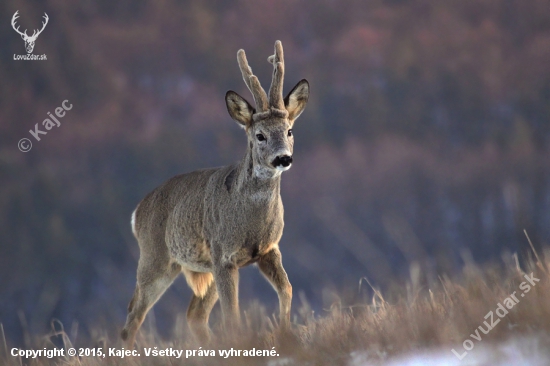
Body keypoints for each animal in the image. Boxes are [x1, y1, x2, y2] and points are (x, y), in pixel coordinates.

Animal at [122, 40, 310, 346]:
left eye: (290, 130)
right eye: (259, 135)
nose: (283, 158)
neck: (250, 223)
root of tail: (137, 212)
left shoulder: (269, 249)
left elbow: (287, 290)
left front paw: (286, 334)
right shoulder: (224, 256)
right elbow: (232, 314)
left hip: (202, 267)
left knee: (194, 315)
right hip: (155, 259)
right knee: (133, 316)